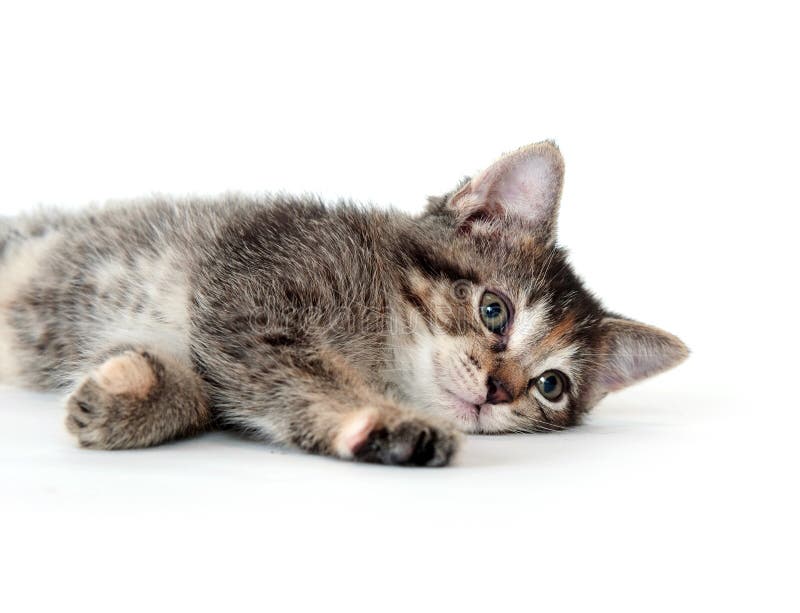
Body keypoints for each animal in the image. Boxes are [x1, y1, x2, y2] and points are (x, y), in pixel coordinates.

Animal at [0, 143, 688, 466]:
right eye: (495, 310)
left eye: (551, 386)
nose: (499, 390)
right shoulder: (246, 285)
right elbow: (296, 369)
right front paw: (375, 420)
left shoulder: (224, 317)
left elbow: (208, 389)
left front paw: (131, 395)